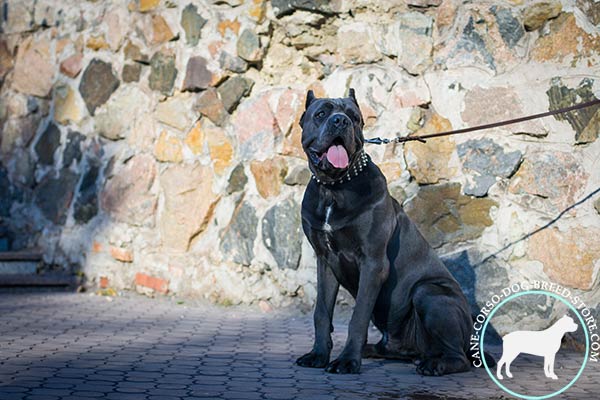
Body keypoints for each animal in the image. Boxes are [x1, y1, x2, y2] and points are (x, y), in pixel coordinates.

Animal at [296, 88, 474, 376]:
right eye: (321, 113)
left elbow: (358, 317)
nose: (340, 121)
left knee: (459, 358)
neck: (333, 189)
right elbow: (321, 312)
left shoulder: (373, 262)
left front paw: (347, 361)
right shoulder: (325, 261)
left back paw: (435, 364)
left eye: (354, 117)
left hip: (429, 293)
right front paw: (318, 354)